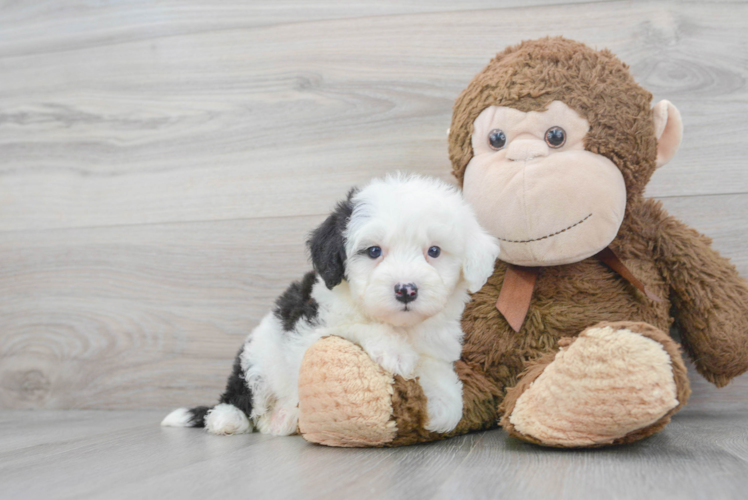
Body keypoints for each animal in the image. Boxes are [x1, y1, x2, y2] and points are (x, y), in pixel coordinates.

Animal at [161, 175, 500, 438]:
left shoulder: (436, 341)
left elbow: (436, 367)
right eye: (373, 251)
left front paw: (445, 404)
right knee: (241, 396)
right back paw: (228, 419)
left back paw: (282, 419)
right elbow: (355, 325)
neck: (402, 326)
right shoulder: (309, 330)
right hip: (256, 356)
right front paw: (395, 351)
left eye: (434, 251)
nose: (406, 289)